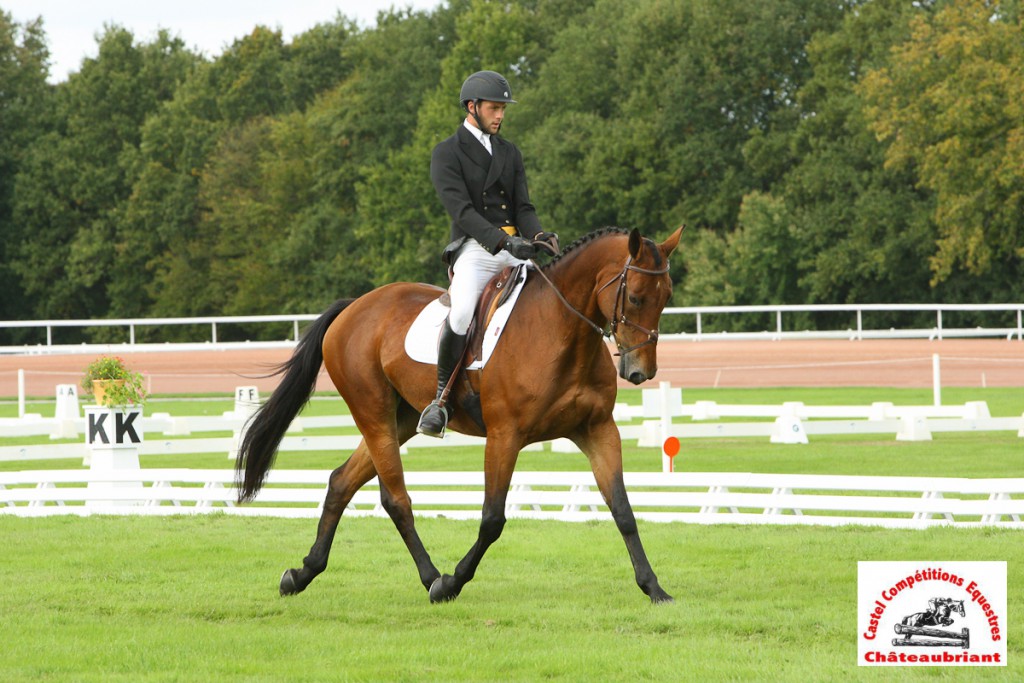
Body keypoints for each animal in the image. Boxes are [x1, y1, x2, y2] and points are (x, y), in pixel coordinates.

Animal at [236, 225, 684, 602]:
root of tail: (353, 307)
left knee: (341, 482)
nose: (641, 372)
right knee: (395, 498)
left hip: (401, 420)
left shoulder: (598, 430)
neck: (561, 333)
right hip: (373, 413)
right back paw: (431, 578)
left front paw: (654, 588)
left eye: (666, 297)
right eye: (636, 296)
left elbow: (623, 510)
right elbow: (492, 519)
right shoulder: (505, 436)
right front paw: (452, 582)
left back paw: (302, 573)